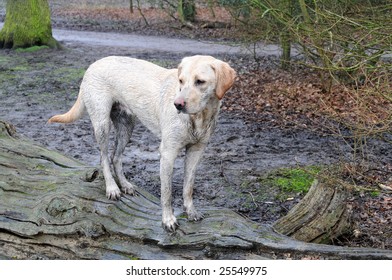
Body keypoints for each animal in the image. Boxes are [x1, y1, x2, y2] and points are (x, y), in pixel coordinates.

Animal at [47, 55, 234, 232]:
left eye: (200, 81)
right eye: (181, 81)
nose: (177, 104)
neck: (199, 118)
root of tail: (93, 64)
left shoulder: (196, 151)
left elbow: (188, 186)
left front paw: (191, 211)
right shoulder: (168, 153)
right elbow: (166, 193)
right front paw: (168, 220)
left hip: (126, 126)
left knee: (116, 157)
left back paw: (125, 185)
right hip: (102, 125)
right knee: (103, 157)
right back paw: (112, 188)